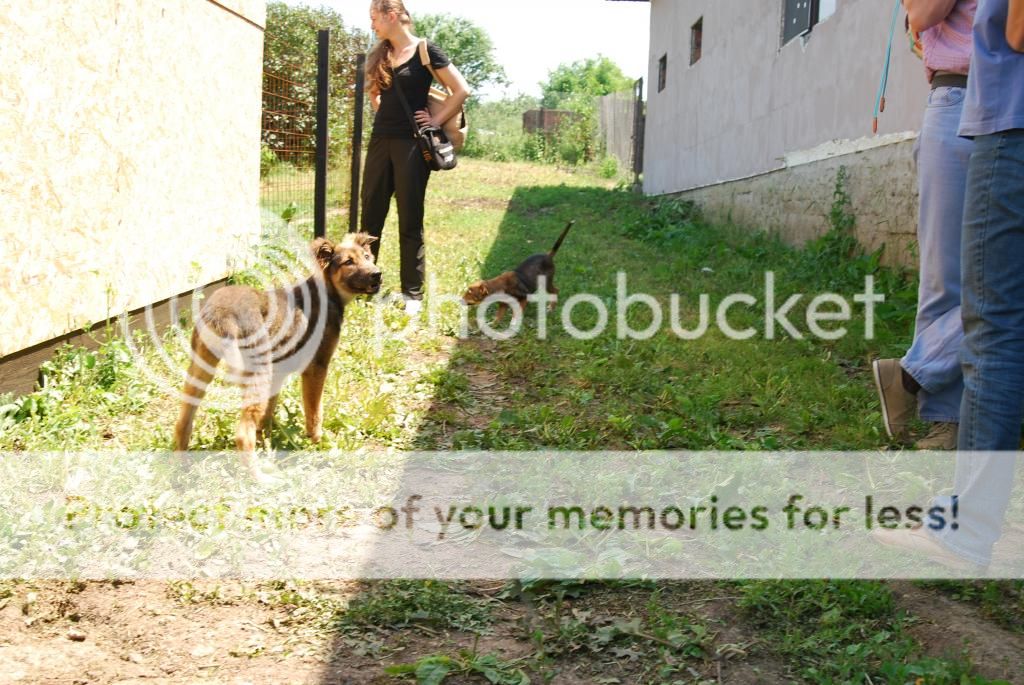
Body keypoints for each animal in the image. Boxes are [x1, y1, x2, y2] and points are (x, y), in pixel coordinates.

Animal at [174, 232, 382, 479]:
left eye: (367, 257)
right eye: (348, 262)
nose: (377, 274)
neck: (328, 291)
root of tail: (221, 312)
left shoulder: (278, 373)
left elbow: (267, 416)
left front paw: (267, 442)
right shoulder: (316, 368)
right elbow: (315, 413)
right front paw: (317, 443)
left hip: (201, 369)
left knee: (183, 420)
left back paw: (179, 468)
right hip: (257, 373)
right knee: (242, 435)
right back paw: (261, 479)